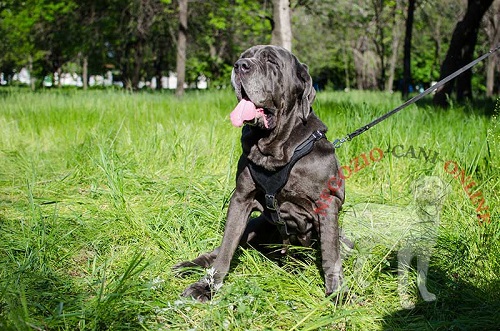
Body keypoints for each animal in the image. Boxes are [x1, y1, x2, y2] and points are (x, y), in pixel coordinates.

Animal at [174, 45, 346, 302]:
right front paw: (206, 286)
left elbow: (330, 254)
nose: (240, 65)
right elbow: (226, 247)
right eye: (245, 55)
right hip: (254, 226)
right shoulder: (241, 198)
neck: (275, 149)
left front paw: (337, 293)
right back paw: (189, 265)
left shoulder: (327, 204)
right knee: (218, 251)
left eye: (272, 62)